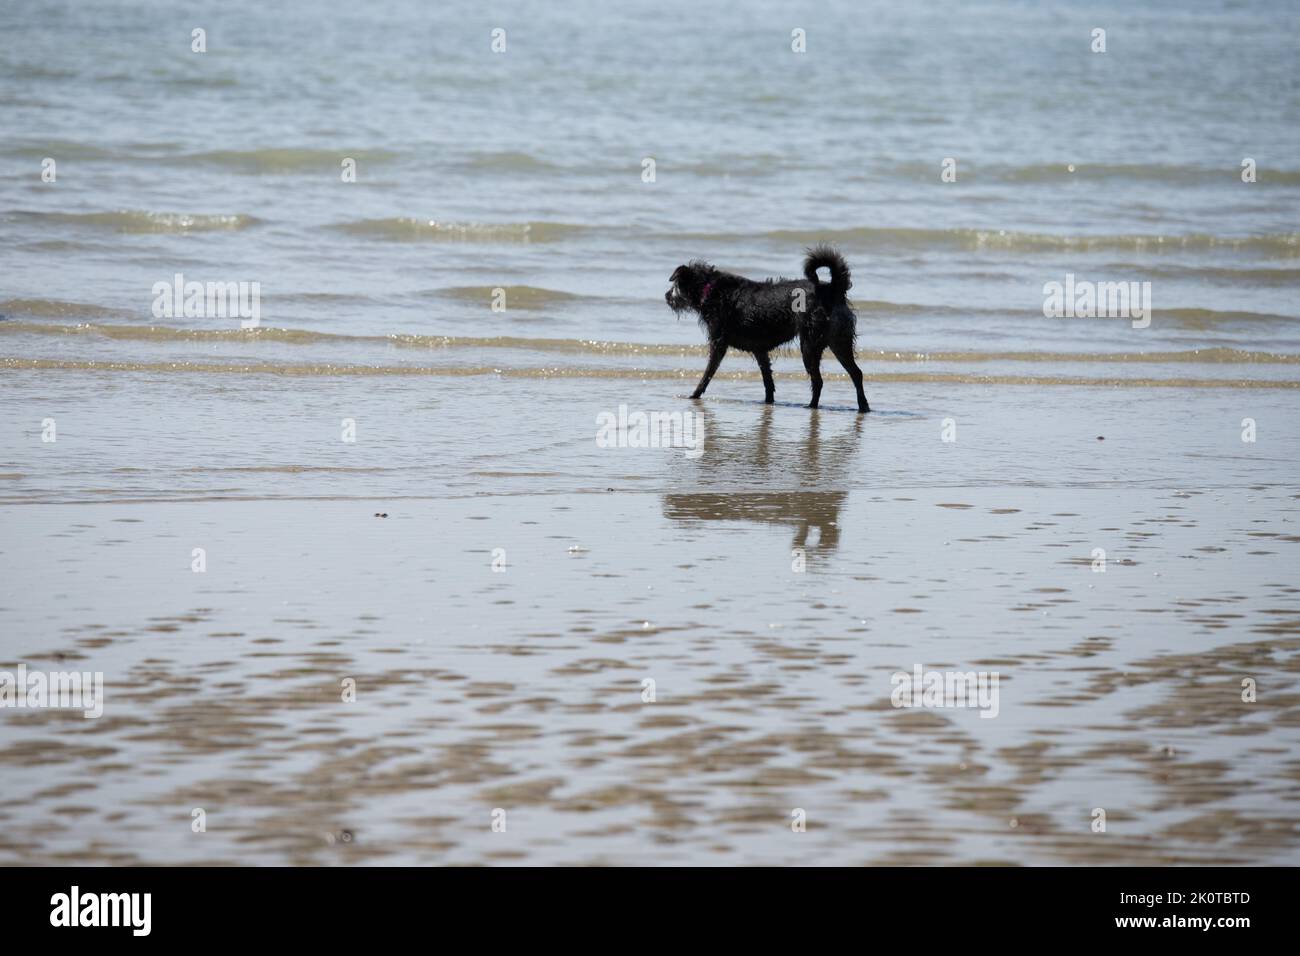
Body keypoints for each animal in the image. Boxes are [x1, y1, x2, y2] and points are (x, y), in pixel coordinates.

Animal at [665, 247, 868, 411]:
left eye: (674, 285)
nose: (666, 296)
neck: (709, 289)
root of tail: (833, 290)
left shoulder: (718, 343)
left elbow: (708, 373)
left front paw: (694, 394)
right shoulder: (760, 350)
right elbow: (767, 379)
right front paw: (768, 402)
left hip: (810, 344)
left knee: (818, 380)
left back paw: (812, 405)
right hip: (839, 340)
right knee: (856, 373)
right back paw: (863, 406)